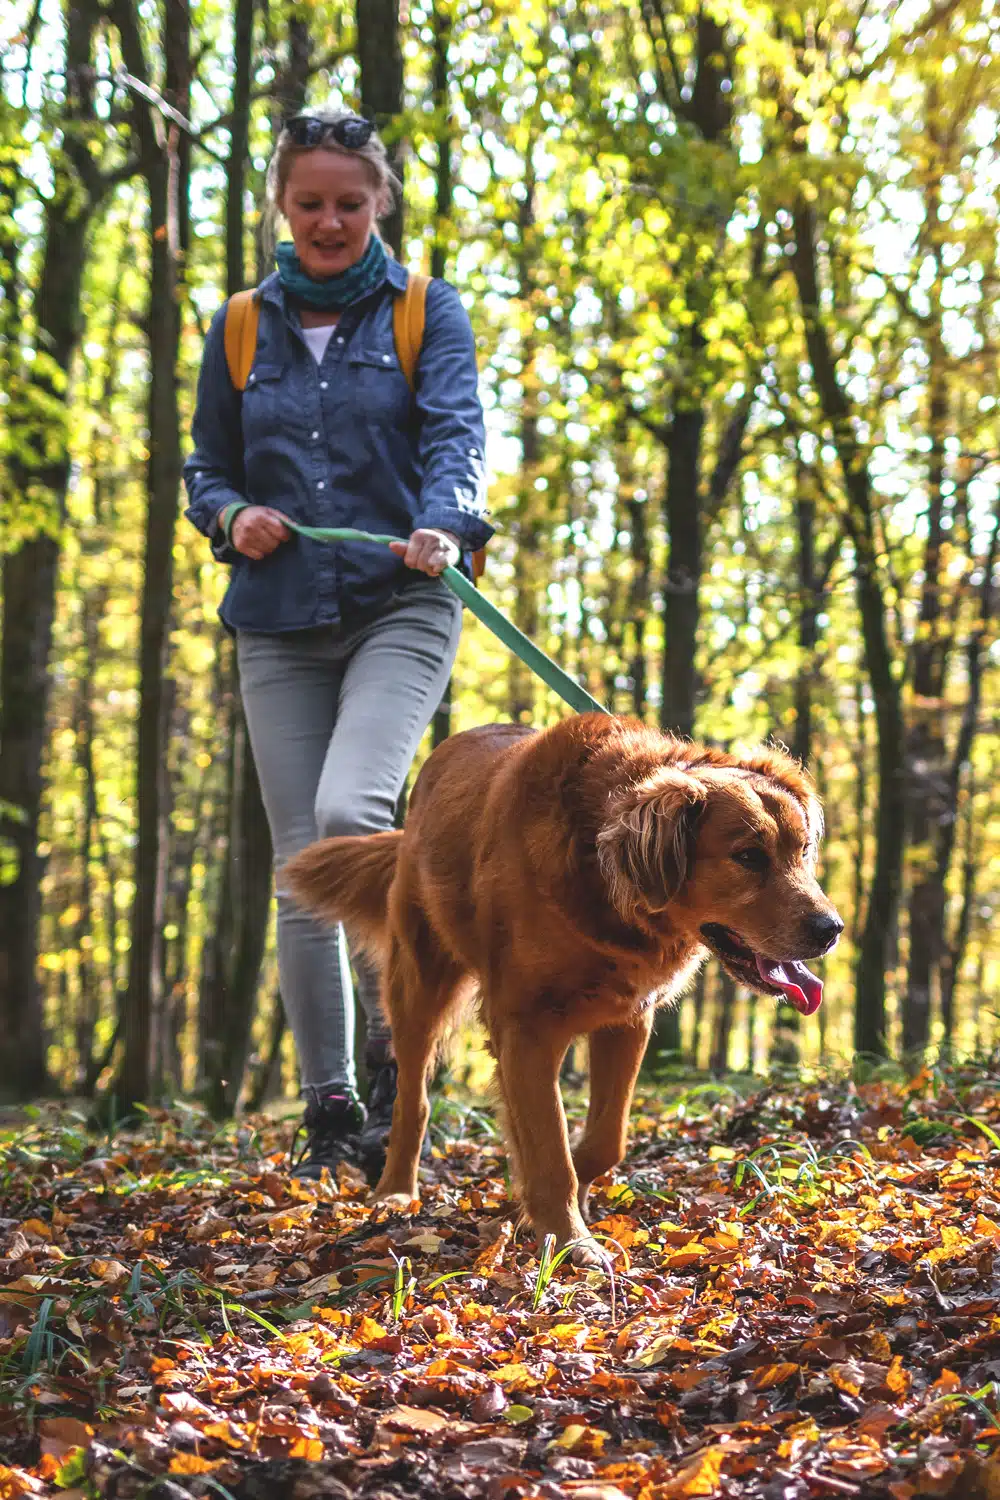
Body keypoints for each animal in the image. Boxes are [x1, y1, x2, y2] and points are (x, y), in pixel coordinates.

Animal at [284, 714, 839, 1266]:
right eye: (748, 856)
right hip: (419, 983)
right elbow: (552, 1153)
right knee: (412, 1099)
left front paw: (531, 1206)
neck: (602, 877)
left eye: (803, 850)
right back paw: (395, 1192)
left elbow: (602, 1144)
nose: (831, 929)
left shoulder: (627, 1021)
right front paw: (571, 1242)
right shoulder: (524, 1028)